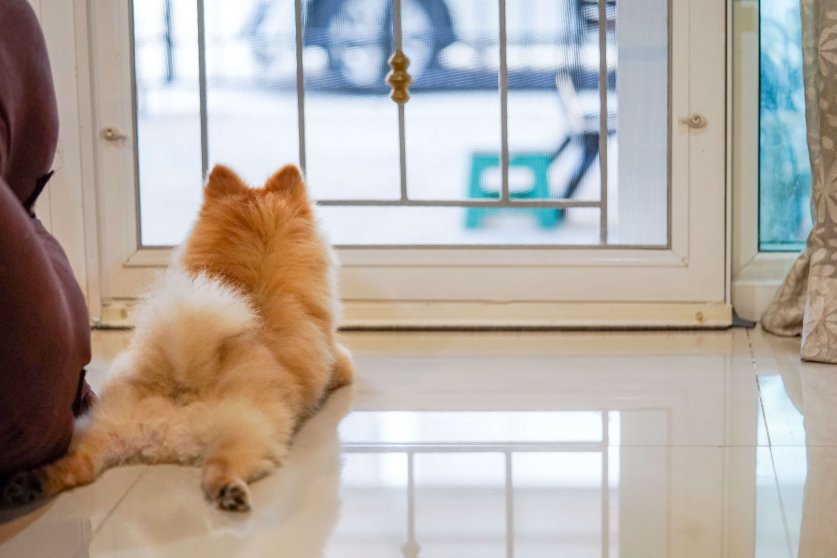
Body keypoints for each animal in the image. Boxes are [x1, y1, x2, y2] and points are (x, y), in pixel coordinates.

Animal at [0, 164, 352, 516]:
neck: (249, 282)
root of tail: (179, 380)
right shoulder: (339, 360)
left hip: (101, 432)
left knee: (78, 465)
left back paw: (28, 484)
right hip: (249, 432)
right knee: (219, 466)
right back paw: (230, 492)